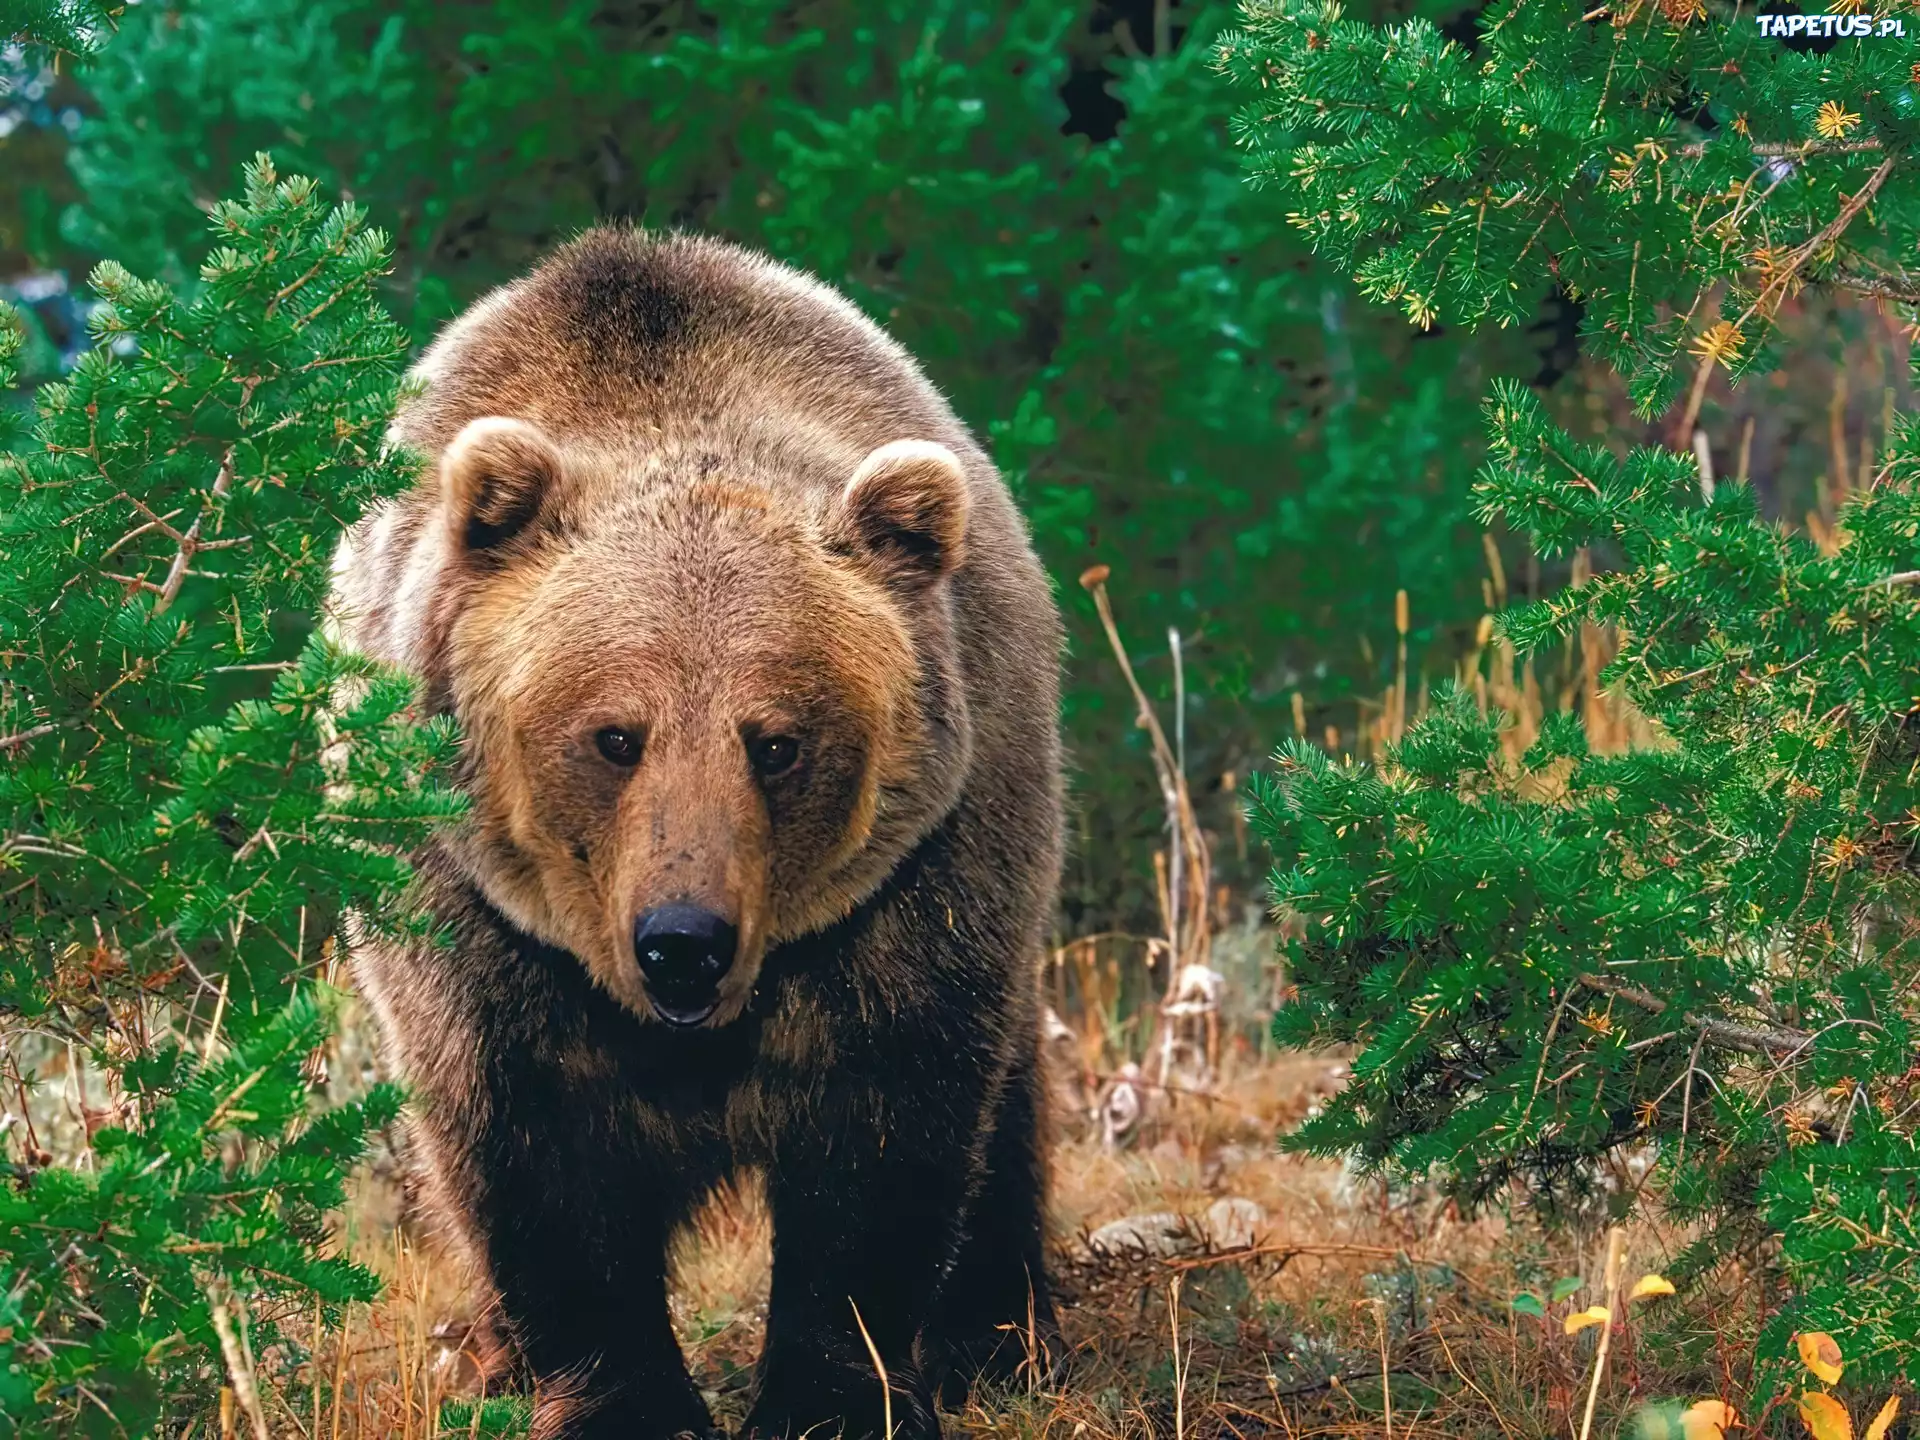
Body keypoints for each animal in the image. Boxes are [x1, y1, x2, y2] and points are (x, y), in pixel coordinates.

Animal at [320, 228, 1059, 1440]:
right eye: (615, 734)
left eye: (779, 741)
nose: (683, 940)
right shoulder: (473, 921)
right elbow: (533, 1149)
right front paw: (622, 1400)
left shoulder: (917, 887)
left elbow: (885, 1132)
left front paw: (833, 1394)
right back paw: (483, 1354)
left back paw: (996, 1335)